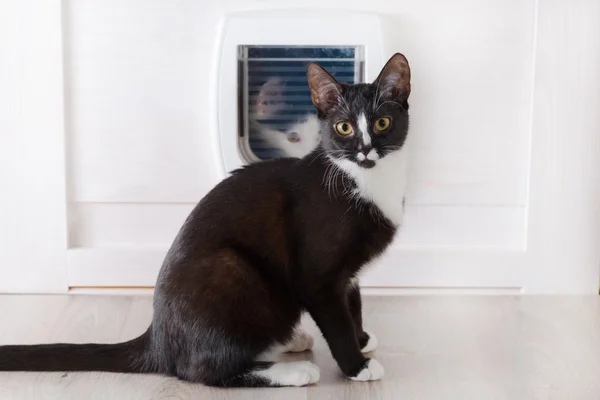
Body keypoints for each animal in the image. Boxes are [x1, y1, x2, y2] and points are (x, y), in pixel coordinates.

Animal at [0, 53, 410, 388]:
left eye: (383, 122)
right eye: (344, 128)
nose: (366, 149)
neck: (365, 180)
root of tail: (158, 338)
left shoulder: (348, 274)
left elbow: (353, 304)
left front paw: (362, 341)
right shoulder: (317, 276)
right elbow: (337, 320)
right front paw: (356, 366)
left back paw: (286, 342)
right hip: (232, 269)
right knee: (200, 371)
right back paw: (293, 371)